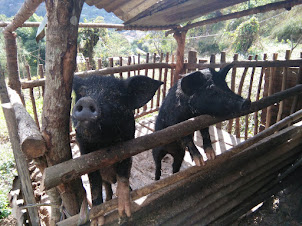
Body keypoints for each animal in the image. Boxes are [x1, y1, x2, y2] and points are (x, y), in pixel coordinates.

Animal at [72, 75, 163, 216]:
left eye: (114, 95)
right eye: (82, 93)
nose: (86, 100)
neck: (104, 143)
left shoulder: (128, 142)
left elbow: (123, 172)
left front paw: (124, 212)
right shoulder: (84, 152)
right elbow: (94, 183)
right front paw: (97, 218)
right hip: (105, 181)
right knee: (107, 187)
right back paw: (108, 200)